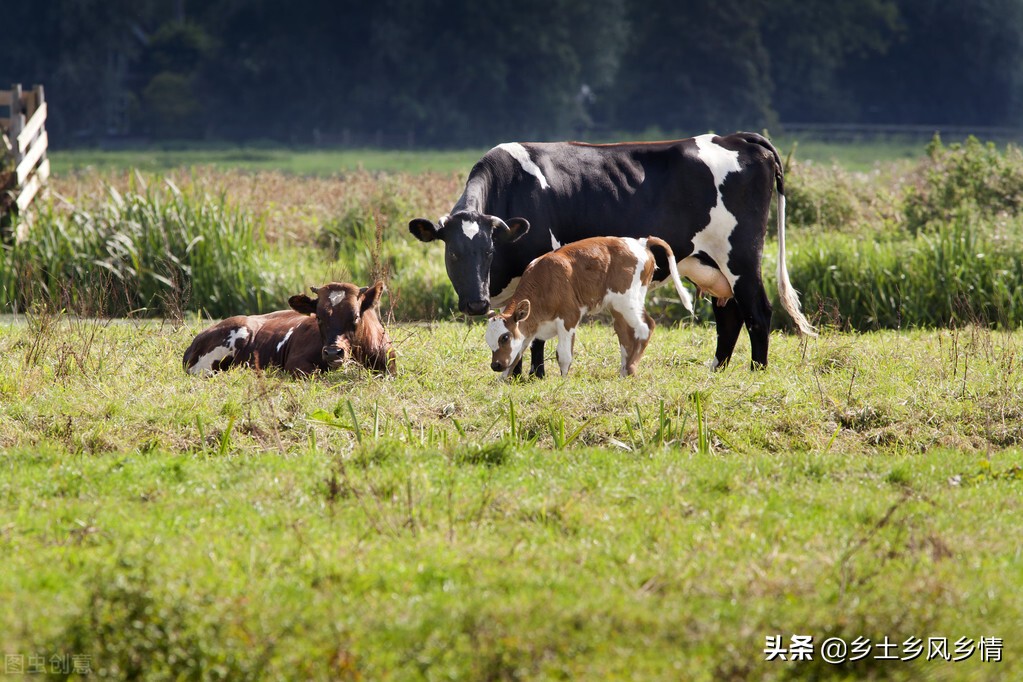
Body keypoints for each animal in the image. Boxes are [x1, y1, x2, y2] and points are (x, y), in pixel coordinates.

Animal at [484, 237, 720, 378]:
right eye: (489, 341)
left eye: (504, 337)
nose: (495, 365)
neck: (545, 280)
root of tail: (640, 242)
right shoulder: (529, 328)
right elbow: (516, 355)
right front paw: (503, 380)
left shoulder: (568, 318)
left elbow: (564, 354)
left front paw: (563, 381)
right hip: (620, 306)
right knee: (626, 335)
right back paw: (624, 369)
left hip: (627, 301)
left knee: (645, 327)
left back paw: (631, 369)